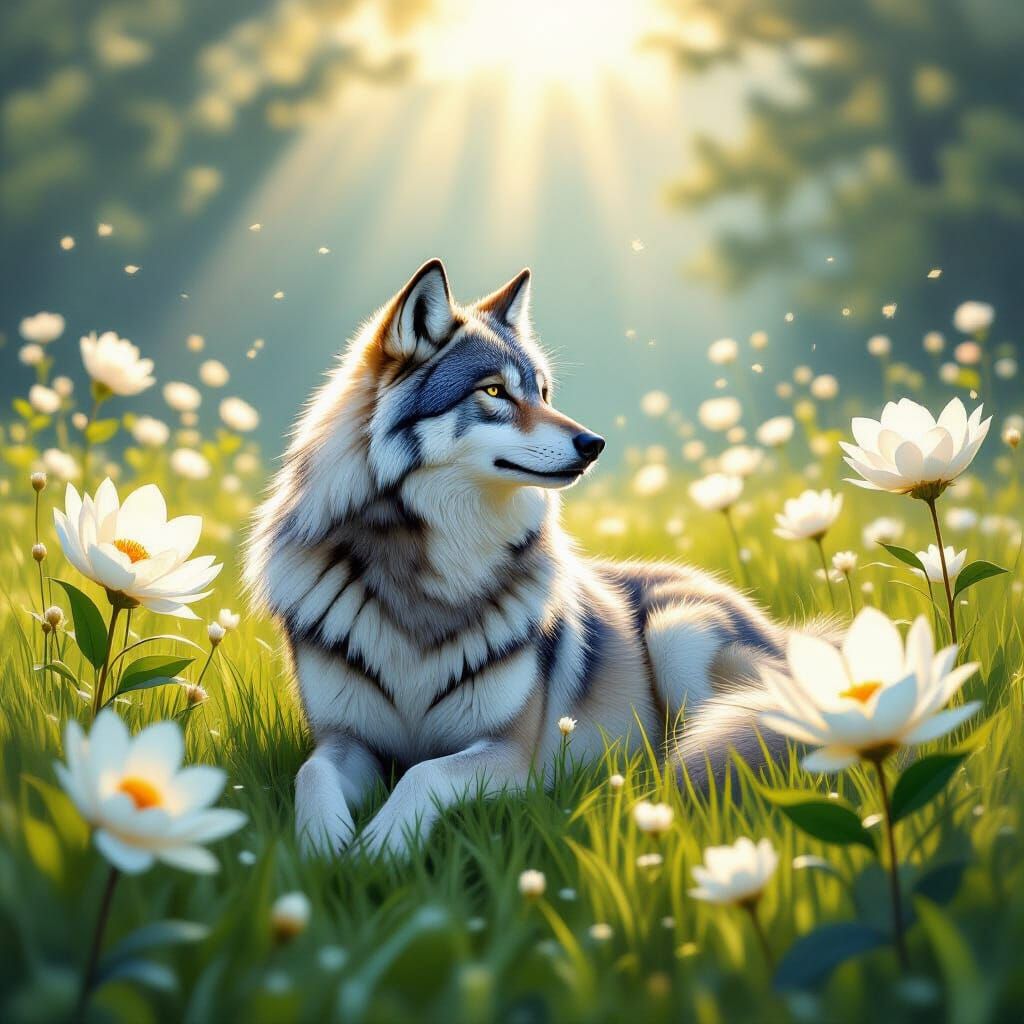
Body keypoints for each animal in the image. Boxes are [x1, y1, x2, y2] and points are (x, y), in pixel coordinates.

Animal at [245, 259, 788, 857]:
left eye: (544, 393)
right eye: (494, 391)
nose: (594, 444)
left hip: (680, 634)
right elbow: (310, 774)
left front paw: (380, 848)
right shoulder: (346, 739)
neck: (430, 579)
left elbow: (423, 774)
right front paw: (322, 848)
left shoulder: (510, 753)